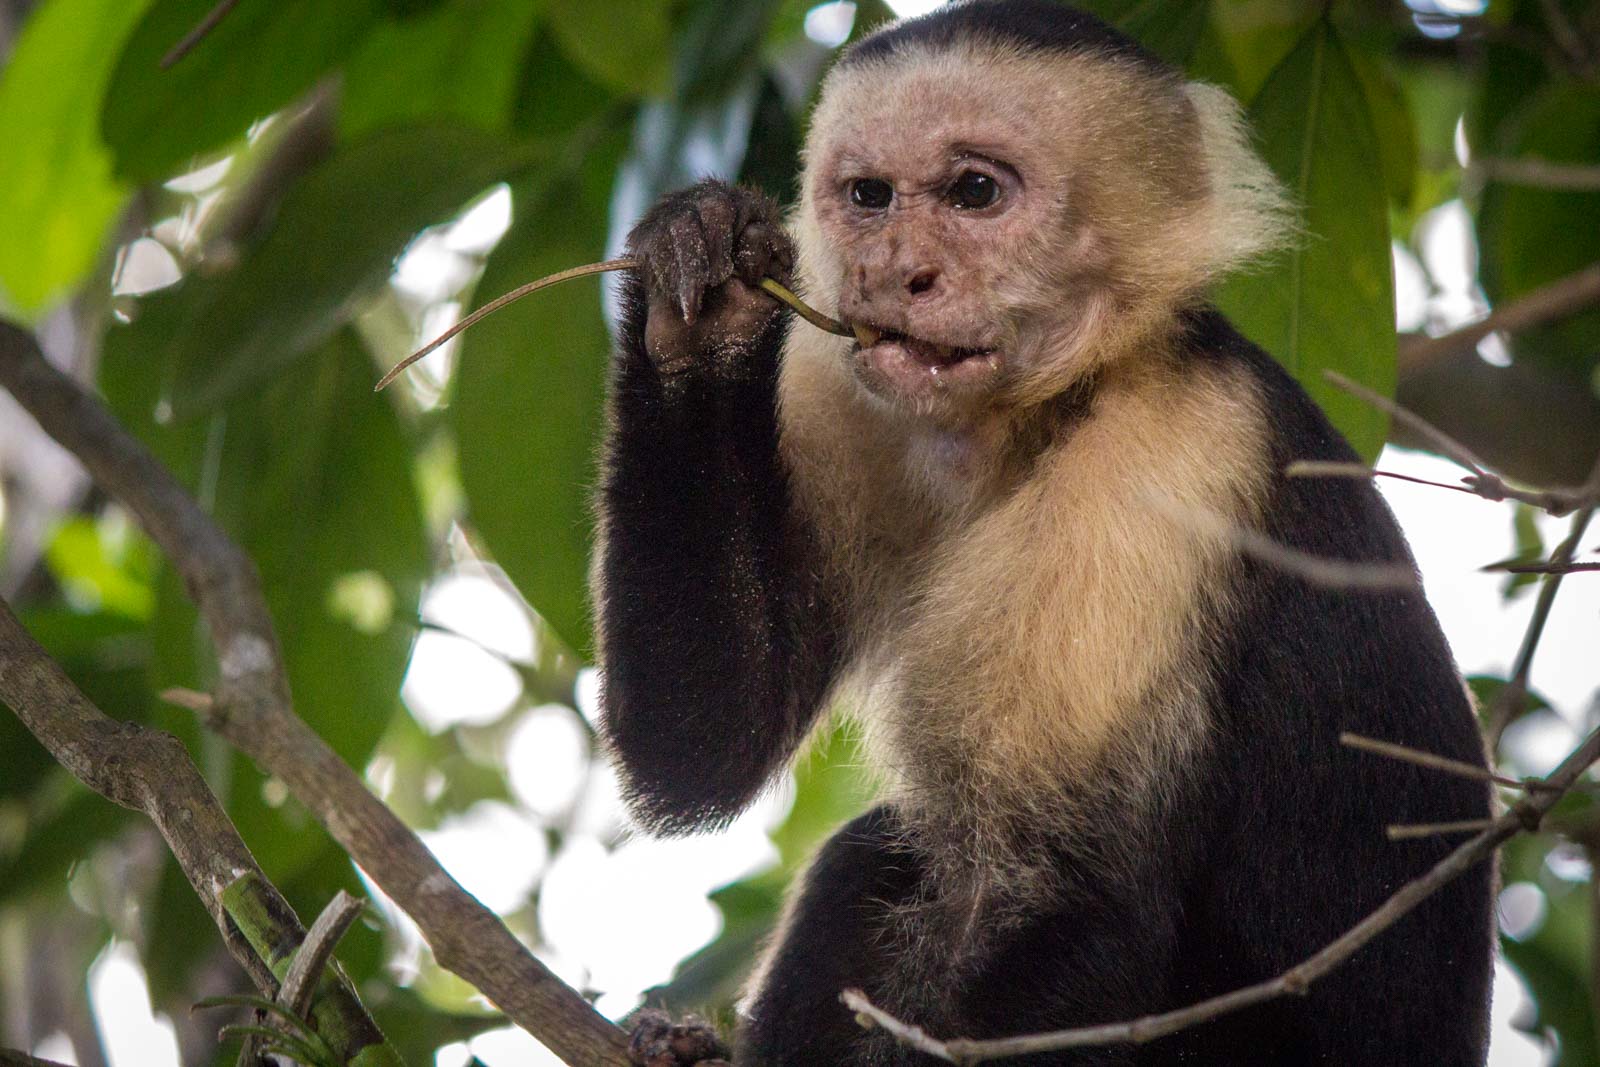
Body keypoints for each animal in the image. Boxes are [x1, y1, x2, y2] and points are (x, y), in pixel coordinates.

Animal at [591, 2, 1494, 1063]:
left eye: (975, 192)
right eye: (869, 196)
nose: (898, 273)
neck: (1038, 413)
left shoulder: (1162, 461)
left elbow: (1057, 901)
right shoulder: (844, 374)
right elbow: (707, 741)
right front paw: (705, 289)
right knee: (879, 857)